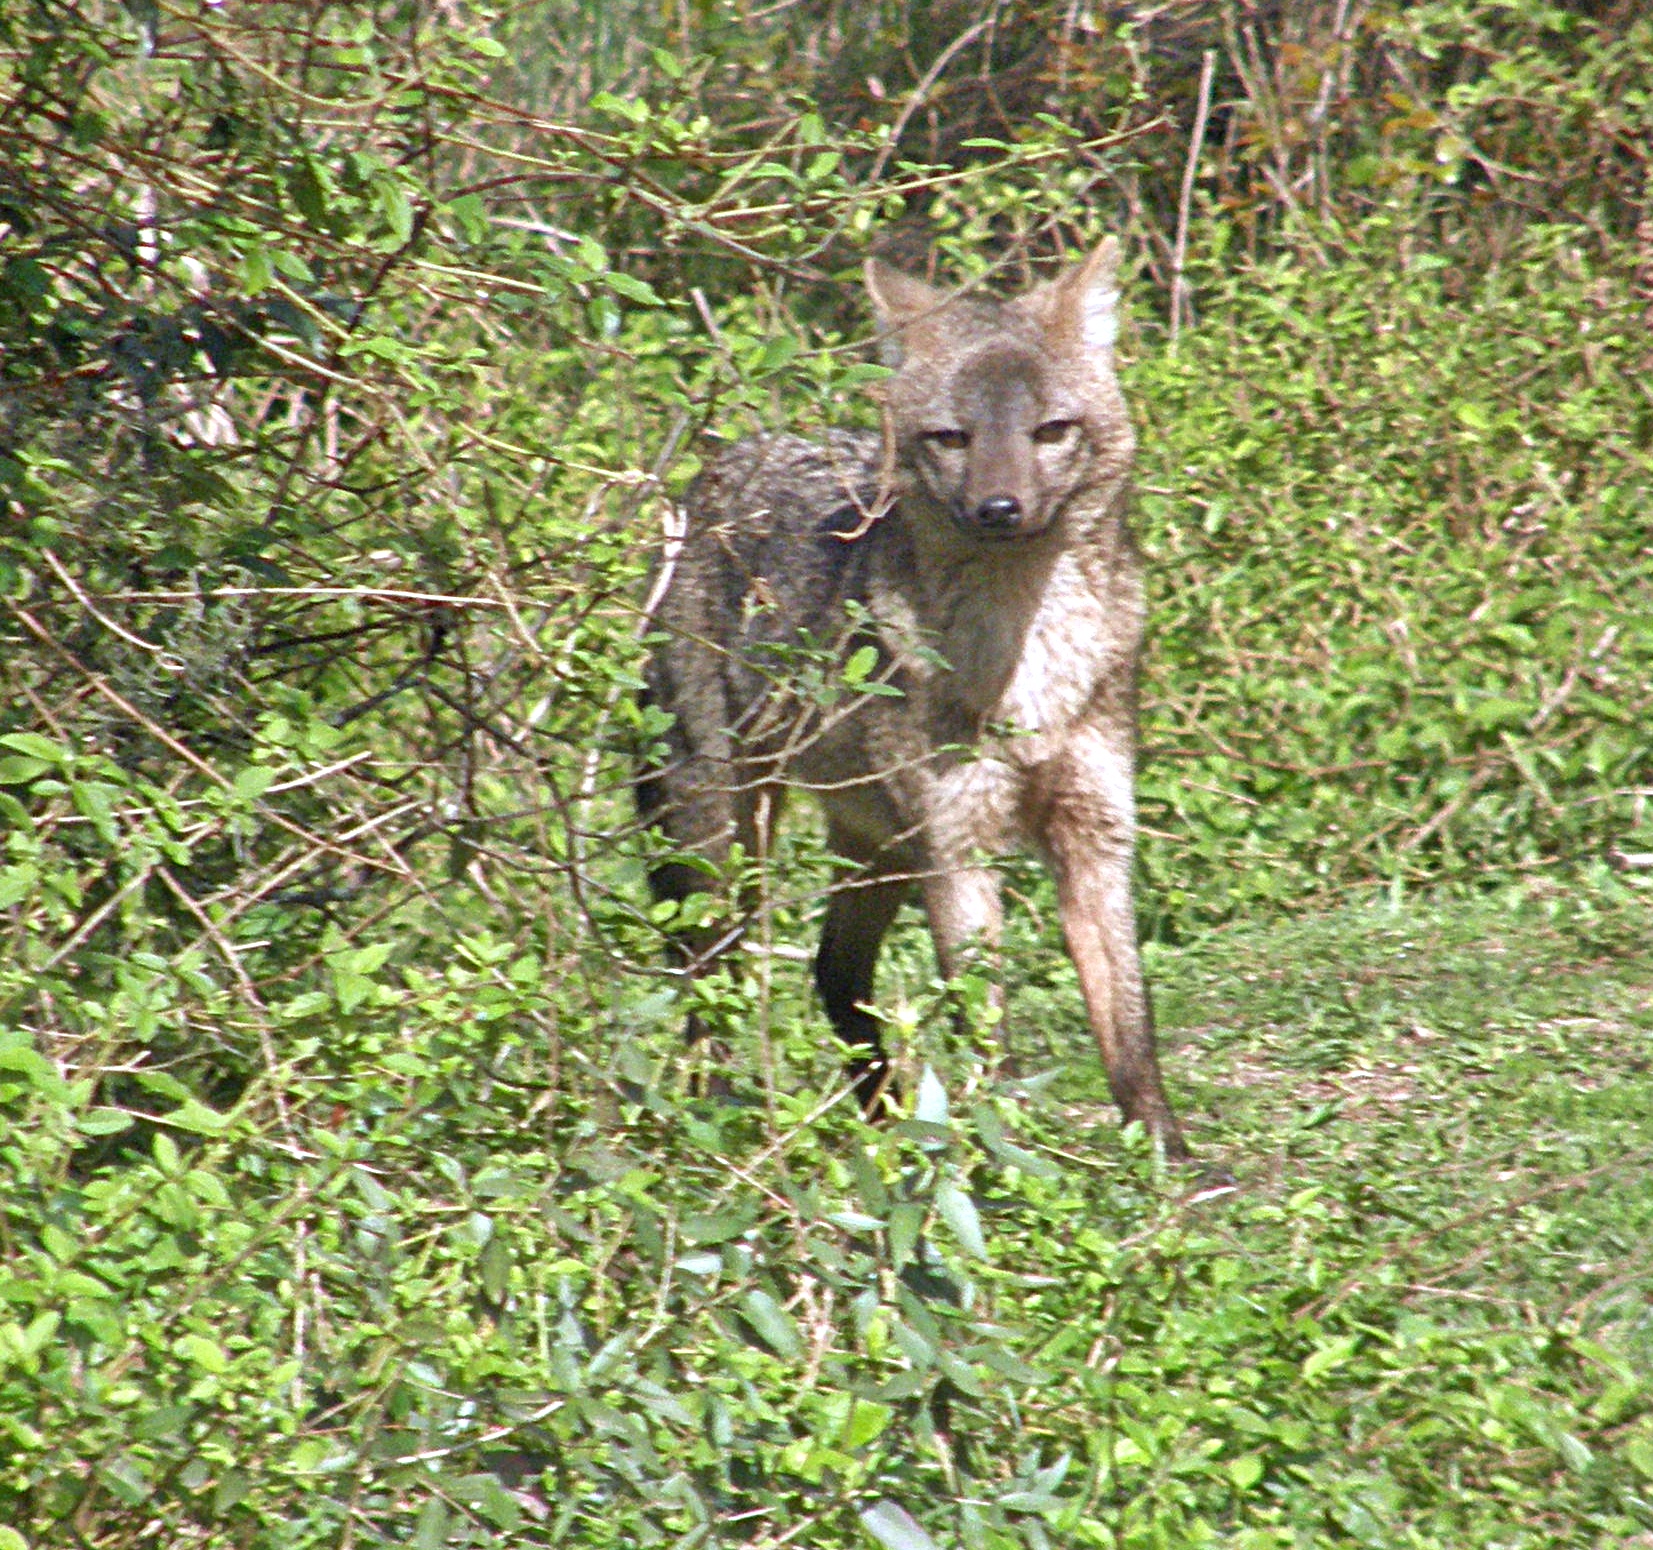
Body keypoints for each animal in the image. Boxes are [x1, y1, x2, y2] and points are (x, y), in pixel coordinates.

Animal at [637, 238, 1188, 1160]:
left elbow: (1130, 1025)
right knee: (712, 989)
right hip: (730, 845)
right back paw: (717, 1132)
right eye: (951, 438)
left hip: (878, 853)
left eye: (1049, 431)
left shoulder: (1095, 837)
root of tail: (718, 468)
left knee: (833, 977)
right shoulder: (959, 849)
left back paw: (887, 1131)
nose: (998, 508)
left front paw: (1165, 1156)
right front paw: (1013, 1166)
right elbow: (990, 1040)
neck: (1025, 660)